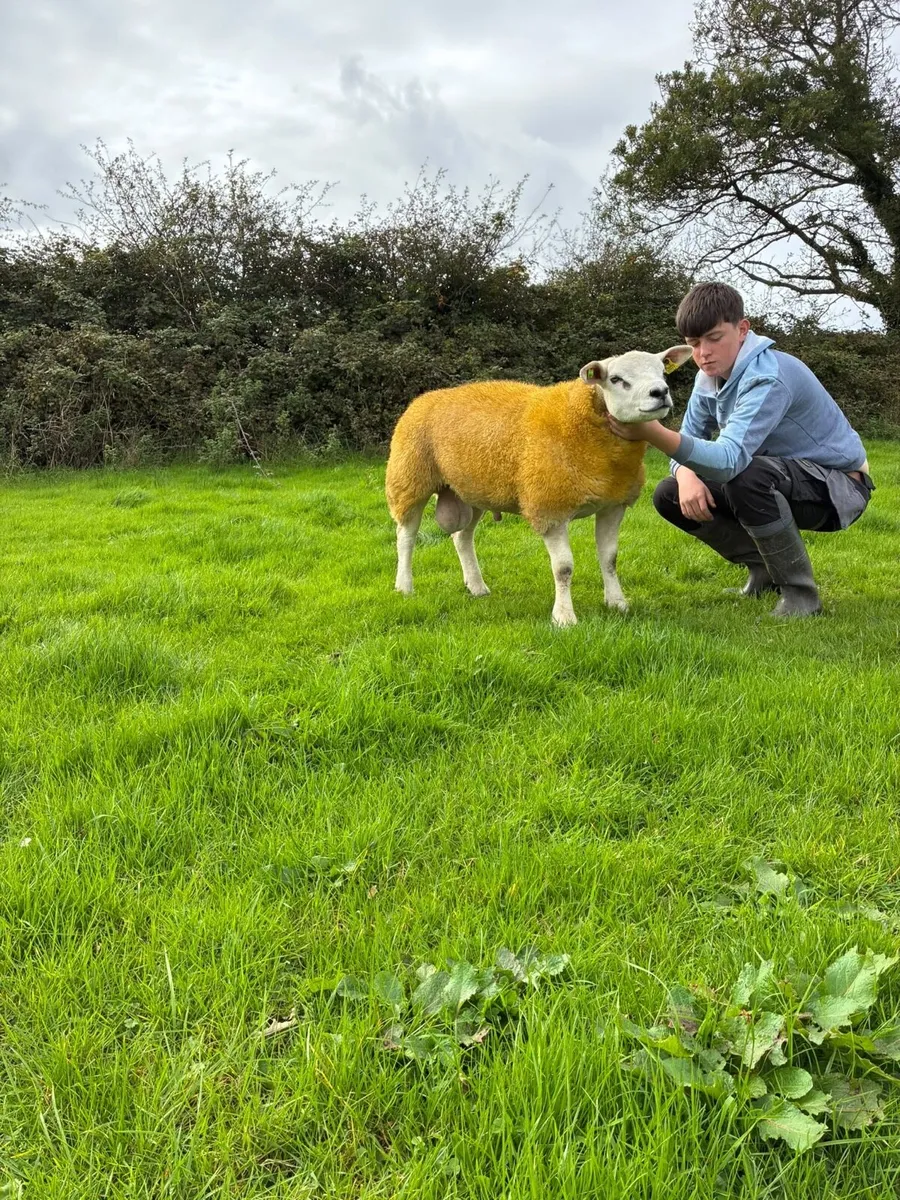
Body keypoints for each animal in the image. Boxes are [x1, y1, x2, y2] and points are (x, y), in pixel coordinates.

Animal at [385, 346, 693, 625]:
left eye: (661, 371)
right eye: (616, 379)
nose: (660, 392)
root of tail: (424, 398)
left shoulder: (613, 503)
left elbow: (609, 558)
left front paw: (617, 603)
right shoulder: (550, 506)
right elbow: (564, 568)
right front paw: (564, 618)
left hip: (472, 489)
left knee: (462, 538)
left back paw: (477, 586)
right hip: (409, 478)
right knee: (406, 537)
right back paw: (405, 586)